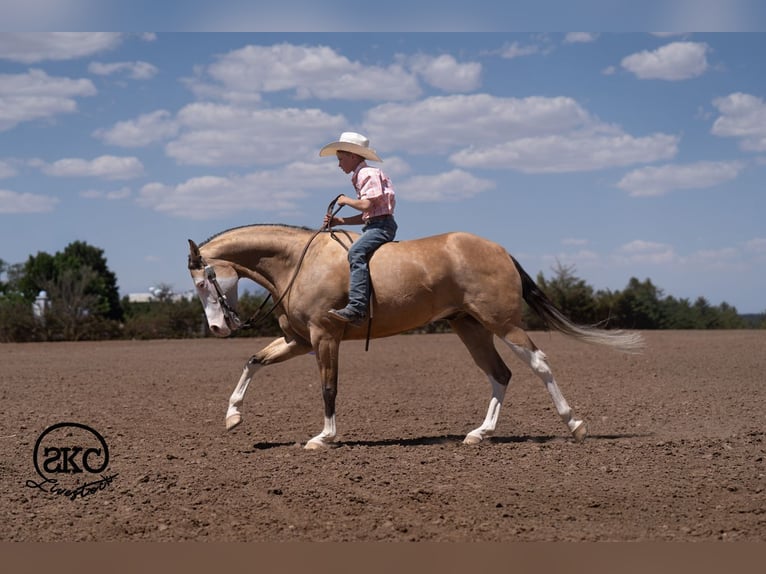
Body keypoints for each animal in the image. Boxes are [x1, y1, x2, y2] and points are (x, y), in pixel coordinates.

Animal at [187, 223, 643, 450]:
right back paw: (479, 434)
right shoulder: (300, 341)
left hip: (502, 323)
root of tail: (499, 250)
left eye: (203, 282)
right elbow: (253, 362)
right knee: (500, 374)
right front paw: (233, 416)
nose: (218, 328)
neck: (299, 261)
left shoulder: (324, 338)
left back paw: (576, 425)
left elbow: (329, 388)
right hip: (469, 327)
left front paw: (324, 438)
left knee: (539, 363)